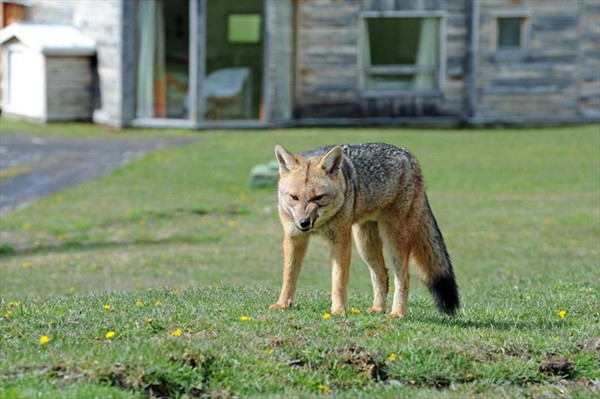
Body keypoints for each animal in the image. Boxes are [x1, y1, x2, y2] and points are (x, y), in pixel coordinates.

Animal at [272, 144, 460, 318]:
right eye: (294, 197)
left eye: (318, 198)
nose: (304, 223)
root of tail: (408, 154)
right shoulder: (293, 238)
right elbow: (288, 275)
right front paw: (282, 304)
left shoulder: (341, 240)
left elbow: (338, 281)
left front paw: (338, 310)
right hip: (365, 245)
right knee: (382, 273)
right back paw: (378, 309)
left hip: (394, 240)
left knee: (404, 277)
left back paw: (397, 312)